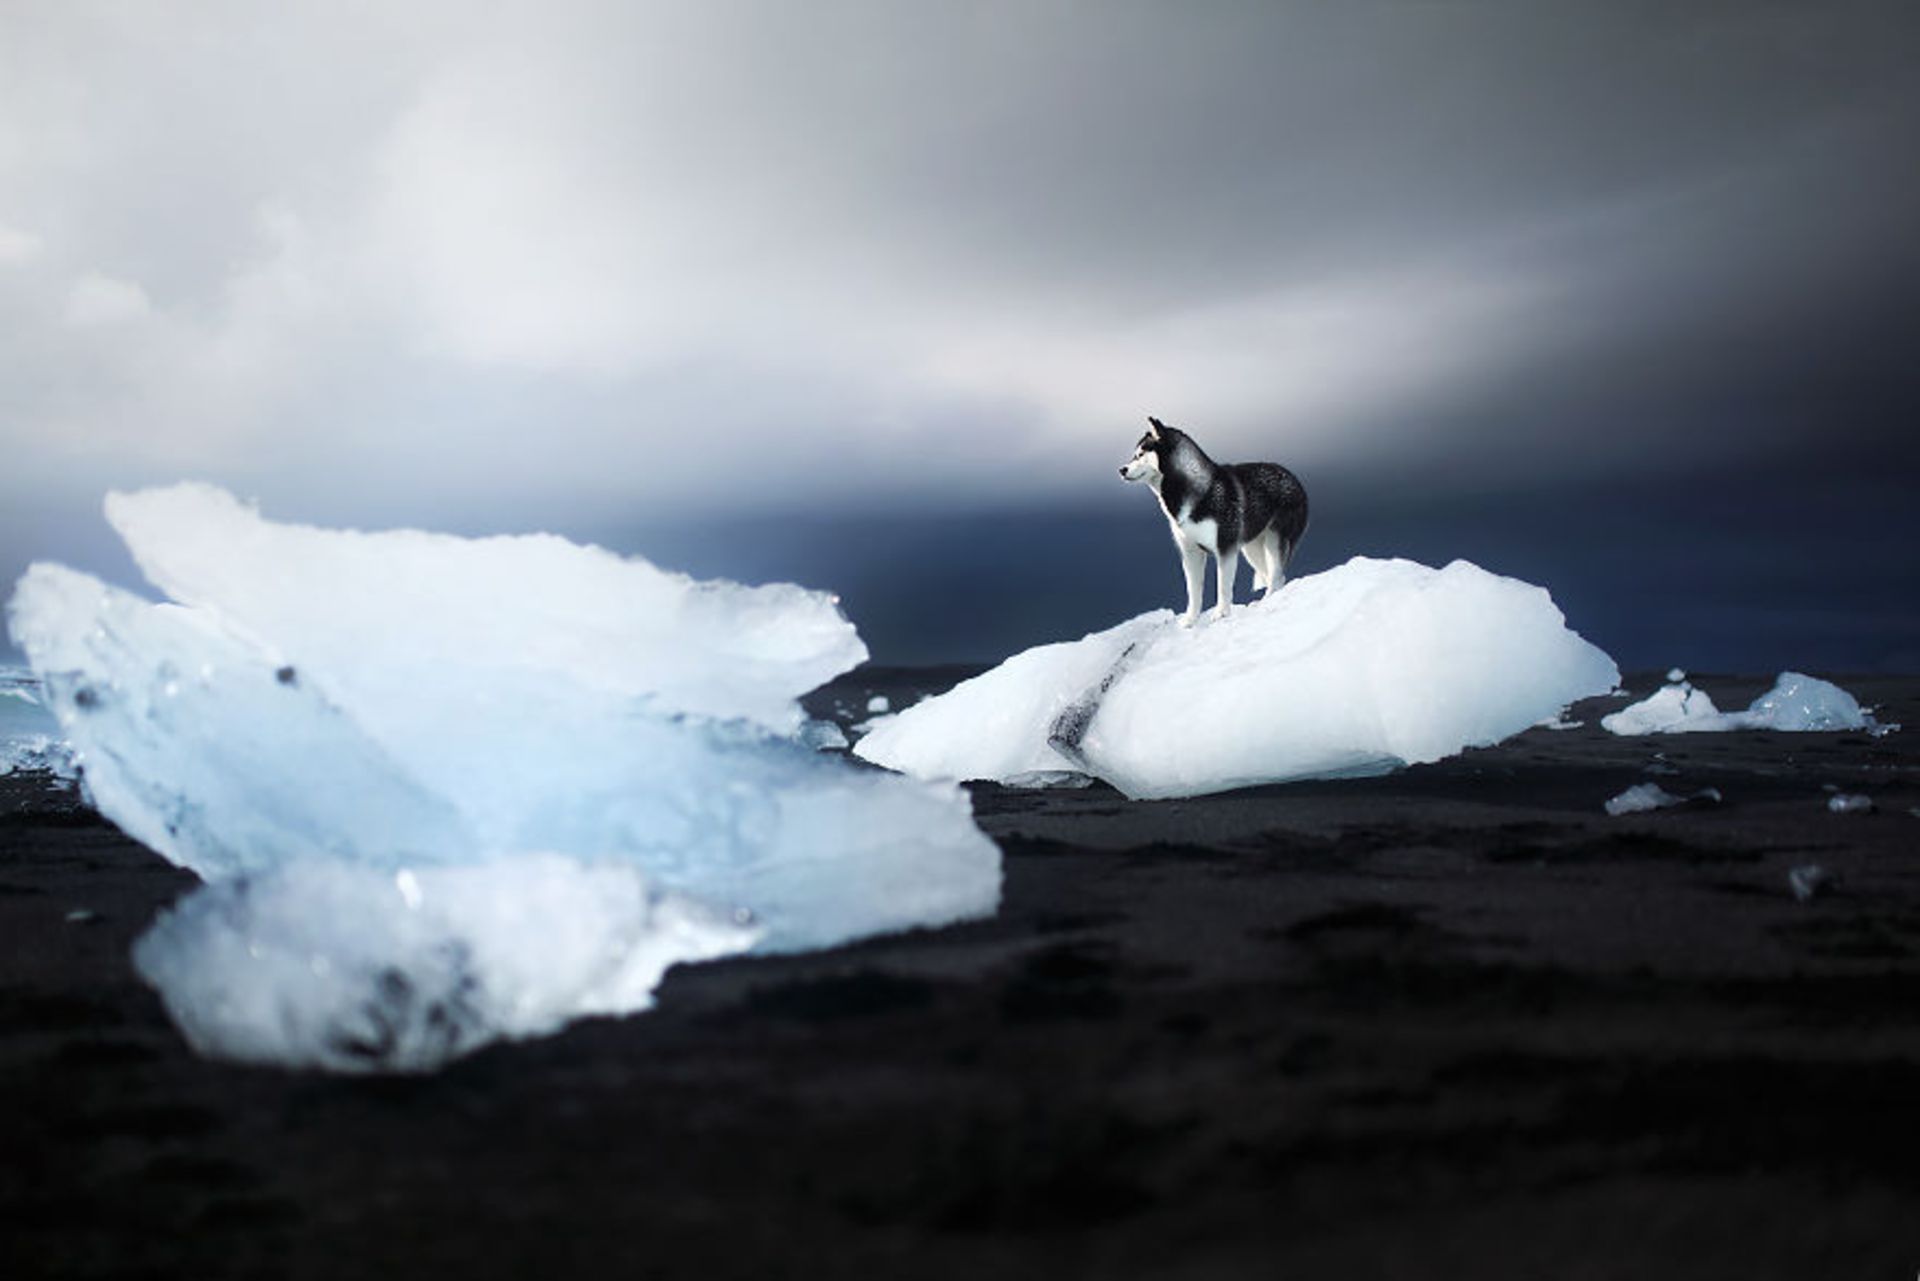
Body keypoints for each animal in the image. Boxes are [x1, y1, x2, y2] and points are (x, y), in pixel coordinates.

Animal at [1121, 416, 1313, 626]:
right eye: (1134, 455)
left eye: (1140, 454)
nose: (1122, 470)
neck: (1199, 490)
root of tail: (1293, 478)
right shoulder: (1190, 552)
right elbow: (1193, 591)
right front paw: (1190, 621)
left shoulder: (1225, 548)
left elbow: (1222, 586)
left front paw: (1221, 614)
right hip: (1252, 550)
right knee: (1272, 575)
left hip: (1274, 542)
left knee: (1277, 576)